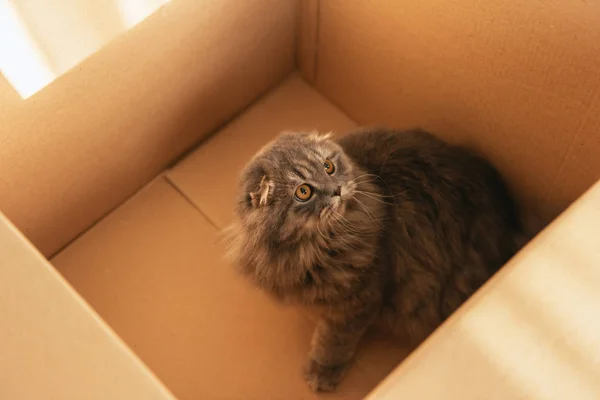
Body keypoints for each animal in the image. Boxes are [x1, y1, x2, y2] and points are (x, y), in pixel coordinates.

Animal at [223, 127, 524, 390]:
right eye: (304, 192)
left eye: (328, 167)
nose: (337, 190)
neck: (313, 247)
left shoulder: (360, 298)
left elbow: (333, 339)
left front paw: (323, 370)